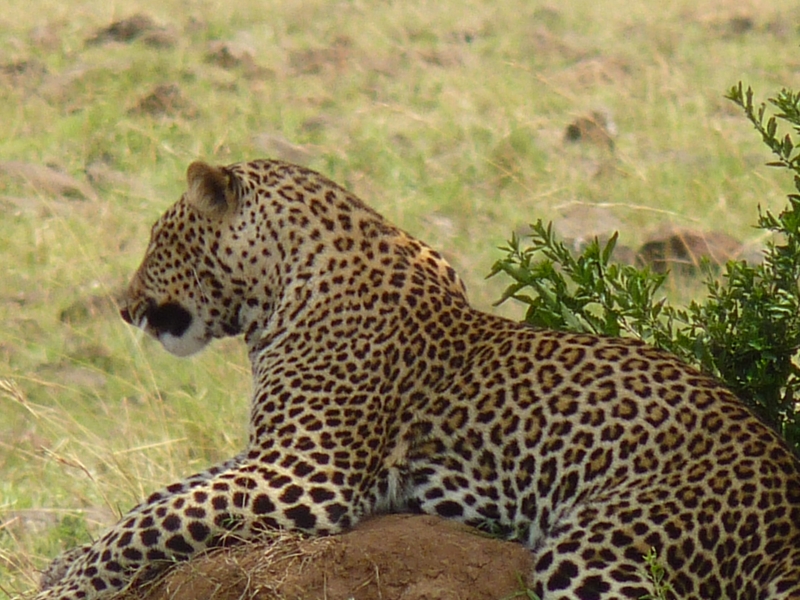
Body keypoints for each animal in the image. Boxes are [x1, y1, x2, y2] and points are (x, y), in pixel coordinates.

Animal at [37, 158, 800, 600]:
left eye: (158, 242)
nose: (124, 305)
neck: (283, 289)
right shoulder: (270, 455)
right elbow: (162, 498)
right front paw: (65, 564)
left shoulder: (305, 475)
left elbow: (158, 519)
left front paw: (73, 583)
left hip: (600, 547)